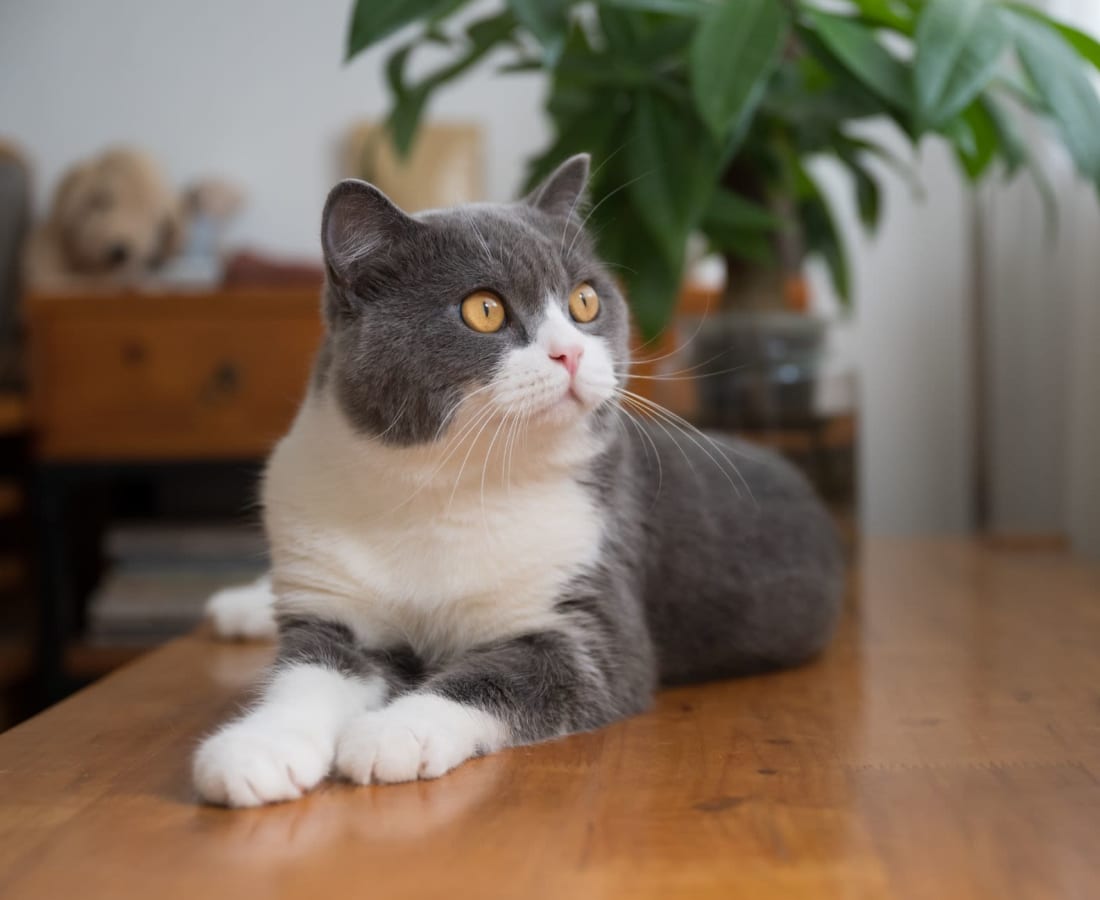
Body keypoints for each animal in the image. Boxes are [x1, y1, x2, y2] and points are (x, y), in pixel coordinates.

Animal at [193, 156, 840, 805]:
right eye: (485, 309)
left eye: (585, 301)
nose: (570, 354)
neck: (441, 488)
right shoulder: (333, 603)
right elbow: (307, 673)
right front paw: (257, 749)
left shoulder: (591, 617)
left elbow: (498, 677)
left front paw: (392, 733)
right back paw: (243, 605)